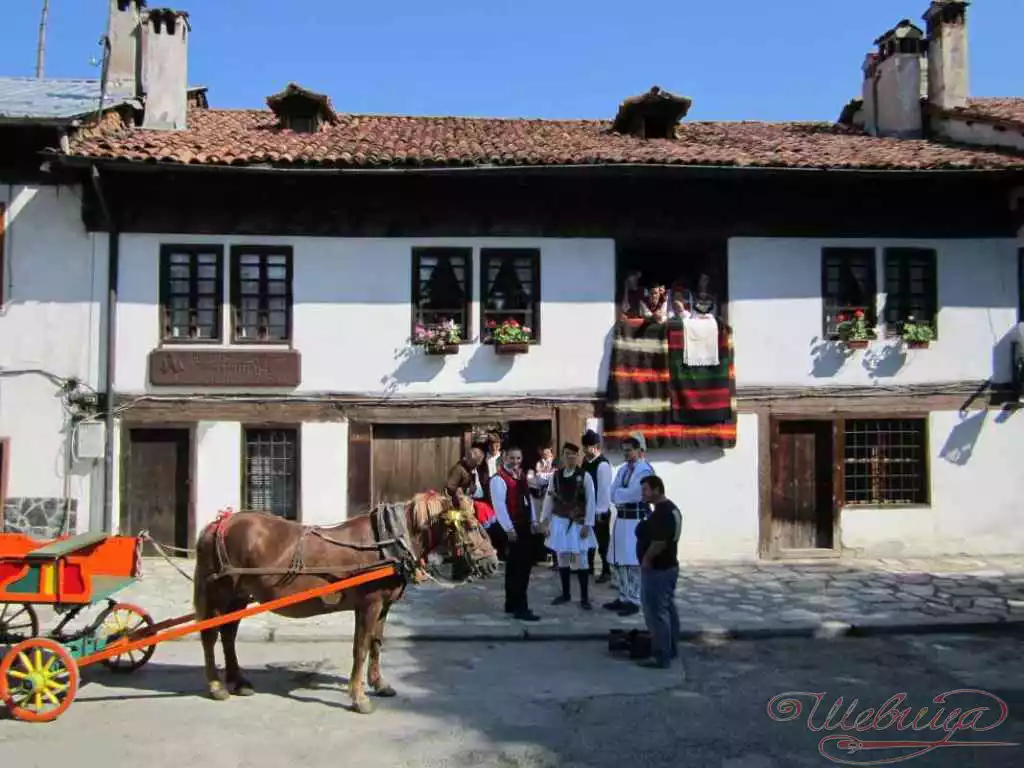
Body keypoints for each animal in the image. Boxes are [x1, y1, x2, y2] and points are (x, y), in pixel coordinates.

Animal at [192, 491, 499, 714]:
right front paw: (359, 697)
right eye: (472, 526)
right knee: (210, 635)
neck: (387, 543)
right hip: (221, 593)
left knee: (228, 635)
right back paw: (217, 685)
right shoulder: (369, 605)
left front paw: (380, 683)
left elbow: (376, 644)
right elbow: (360, 649)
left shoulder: (384, 606)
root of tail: (218, 525)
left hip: (239, 596)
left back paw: (238, 681)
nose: (493, 563)